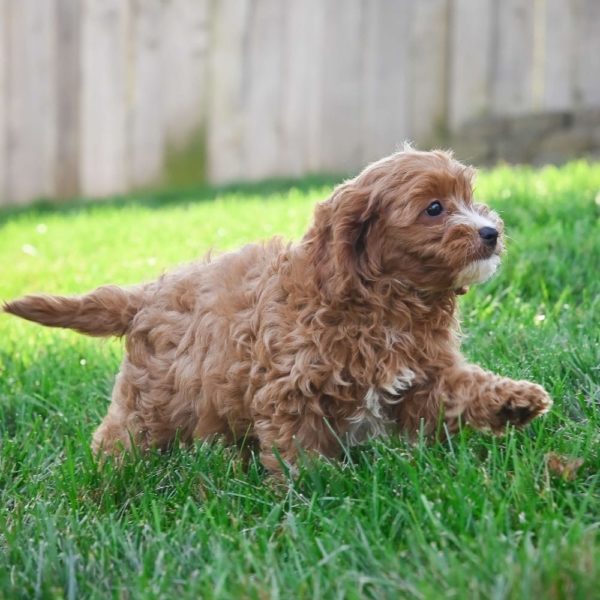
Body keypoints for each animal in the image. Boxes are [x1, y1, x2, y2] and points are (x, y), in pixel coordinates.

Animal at [3, 148, 552, 472]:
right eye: (434, 208)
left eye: (469, 198)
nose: (491, 232)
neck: (386, 304)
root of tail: (147, 294)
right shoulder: (290, 387)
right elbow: (297, 448)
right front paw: (313, 494)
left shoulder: (420, 373)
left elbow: (459, 389)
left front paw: (513, 400)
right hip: (149, 401)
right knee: (120, 437)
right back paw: (105, 481)